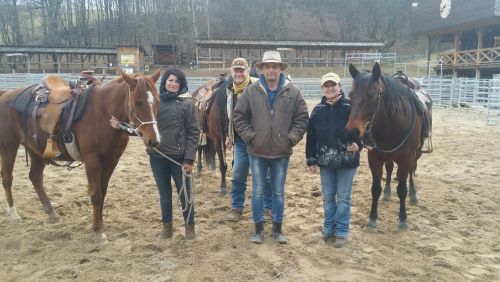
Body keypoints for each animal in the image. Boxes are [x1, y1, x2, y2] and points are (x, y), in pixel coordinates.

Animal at [0, 69, 160, 241]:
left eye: (158, 101)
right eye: (138, 102)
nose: (154, 140)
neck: (102, 113)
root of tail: (5, 94)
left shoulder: (111, 161)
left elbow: (103, 192)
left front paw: (100, 225)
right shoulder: (92, 160)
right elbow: (96, 195)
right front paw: (98, 231)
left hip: (36, 150)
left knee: (35, 177)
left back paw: (51, 212)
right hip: (9, 146)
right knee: (7, 178)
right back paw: (14, 214)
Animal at [346, 63, 428, 229]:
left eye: (372, 95)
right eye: (351, 95)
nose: (351, 132)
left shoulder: (406, 159)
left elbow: (402, 189)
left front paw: (403, 219)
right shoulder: (374, 158)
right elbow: (375, 189)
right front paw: (372, 218)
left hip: (416, 153)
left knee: (412, 171)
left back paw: (413, 194)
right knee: (390, 169)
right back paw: (387, 192)